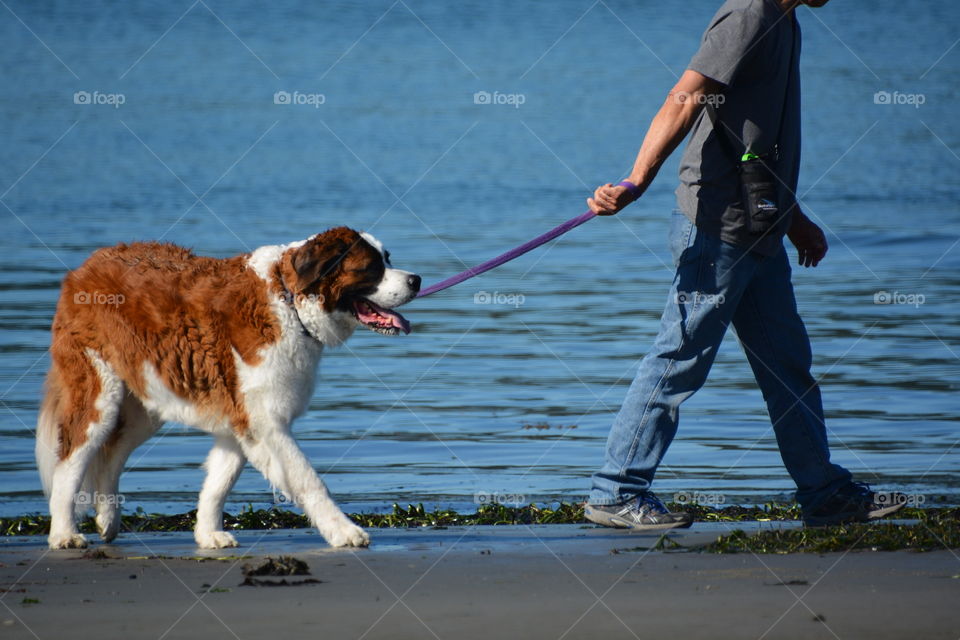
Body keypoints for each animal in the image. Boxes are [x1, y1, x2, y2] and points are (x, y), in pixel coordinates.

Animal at [37, 226, 420, 552]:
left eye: (387, 258)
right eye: (371, 268)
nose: (416, 279)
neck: (289, 300)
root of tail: (85, 267)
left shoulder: (240, 419)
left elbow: (219, 481)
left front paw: (207, 534)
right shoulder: (267, 422)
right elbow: (307, 478)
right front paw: (343, 530)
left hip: (146, 399)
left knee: (113, 451)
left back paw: (108, 518)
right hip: (100, 395)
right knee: (71, 459)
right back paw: (64, 534)